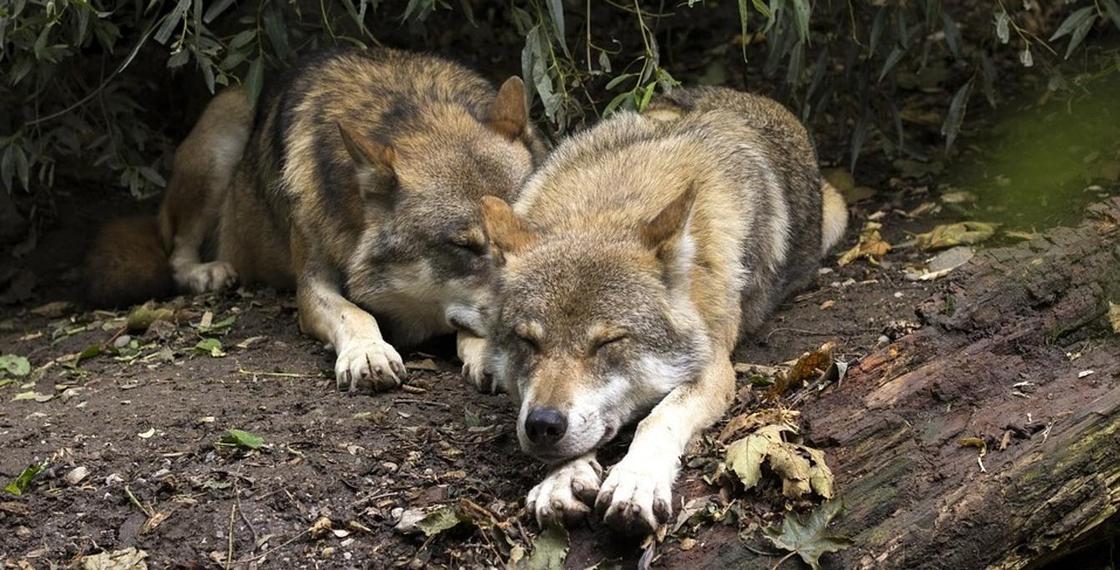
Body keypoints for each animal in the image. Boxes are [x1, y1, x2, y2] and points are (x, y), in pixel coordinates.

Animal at [85, 47, 544, 391]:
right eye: (464, 246)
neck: (406, 109)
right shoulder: (310, 287)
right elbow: (355, 313)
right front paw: (368, 353)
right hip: (224, 131)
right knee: (176, 253)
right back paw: (207, 273)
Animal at [474, 86, 846, 530]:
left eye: (608, 342)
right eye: (527, 341)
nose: (543, 425)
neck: (610, 204)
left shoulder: (714, 368)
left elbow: (658, 418)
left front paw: (637, 480)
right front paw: (560, 480)